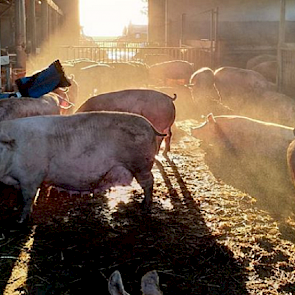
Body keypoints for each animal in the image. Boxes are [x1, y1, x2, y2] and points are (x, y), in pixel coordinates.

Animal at [0, 112, 166, 223]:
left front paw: (20, 220)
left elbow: (28, 198)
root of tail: (150, 126)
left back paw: (145, 207)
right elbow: (22, 197)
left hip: (141, 165)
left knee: (149, 182)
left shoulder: (31, 177)